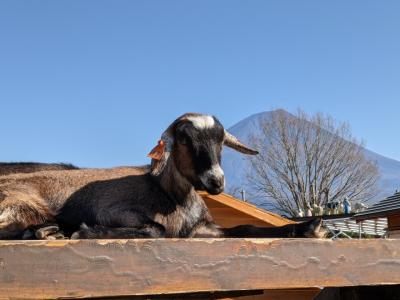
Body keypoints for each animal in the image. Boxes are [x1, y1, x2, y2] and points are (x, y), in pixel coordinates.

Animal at [0, 112, 324, 239]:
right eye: (183, 139)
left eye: (220, 141)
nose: (216, 181)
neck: (170, 196)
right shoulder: (116, 211)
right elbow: (155, 229)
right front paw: (86, 231)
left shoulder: (203, 229)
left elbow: (246, 227)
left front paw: (308, 227)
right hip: (20, 205)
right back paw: (48, 231)